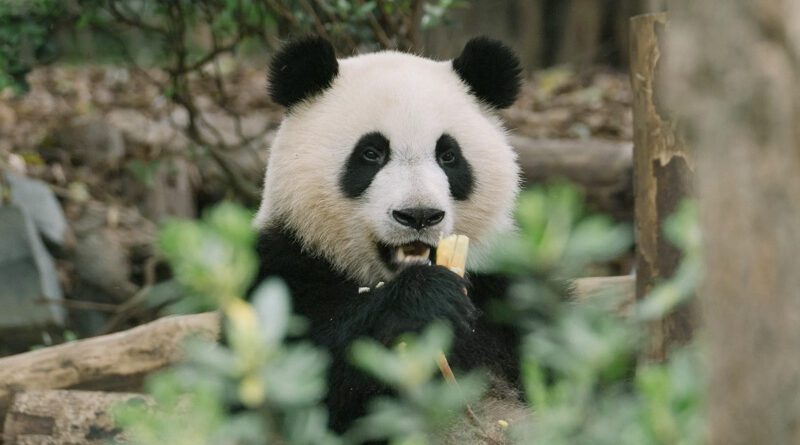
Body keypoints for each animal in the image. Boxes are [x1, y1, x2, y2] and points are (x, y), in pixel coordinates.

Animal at [252, 36, 526, 442]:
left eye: (448, 156)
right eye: (371, 153)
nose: (419, 215)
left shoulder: (507, 282)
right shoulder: (286, 264)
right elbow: (299, 383)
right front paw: (426, 300)